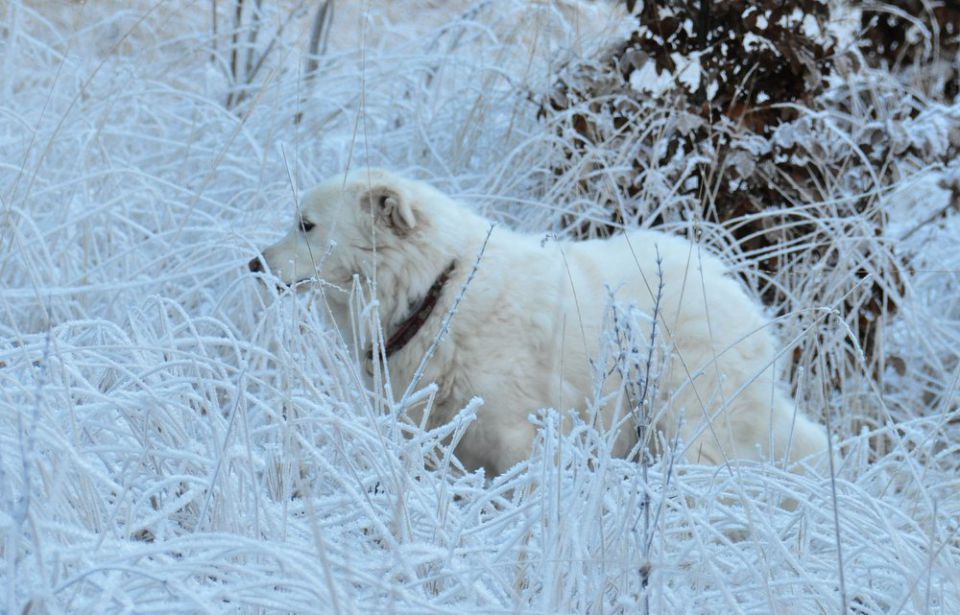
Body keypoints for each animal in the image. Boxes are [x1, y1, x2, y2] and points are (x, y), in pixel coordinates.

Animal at [251, 168, 828, 476]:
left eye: (306, 225)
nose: (254, 264)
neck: (435, 293)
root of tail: (736, 292)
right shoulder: (439, 442)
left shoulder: (520, 441)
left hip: (692, 428)